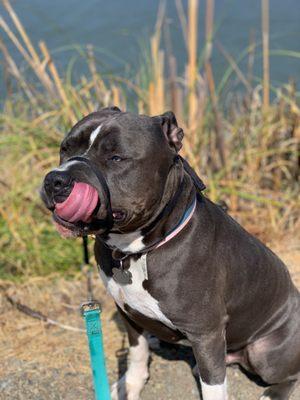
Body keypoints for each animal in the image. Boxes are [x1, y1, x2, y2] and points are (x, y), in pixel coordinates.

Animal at [40, 107, 300, 400]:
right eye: (65, 149)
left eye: (116, 157)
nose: (55, 180)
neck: (137, 250)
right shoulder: (128, 314)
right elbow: (137, 353)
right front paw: (131, 385)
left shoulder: (206, 332)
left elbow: (213, 387)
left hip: (264, 352)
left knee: (289, 373)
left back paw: (273, 392)